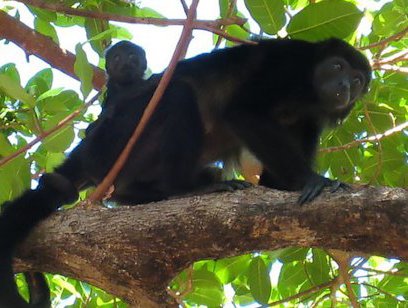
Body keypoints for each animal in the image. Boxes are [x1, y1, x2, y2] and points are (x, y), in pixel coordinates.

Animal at [0, 37, 370, 306]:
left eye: (357, 80)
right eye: (337, 67)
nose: (345, 87)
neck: (308, 92)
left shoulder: (312, 119)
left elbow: (276, 182)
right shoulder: (285, 67)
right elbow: (242, 111)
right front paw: (315, 181)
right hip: (117, 141)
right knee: (179, 93)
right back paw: (187, 188)